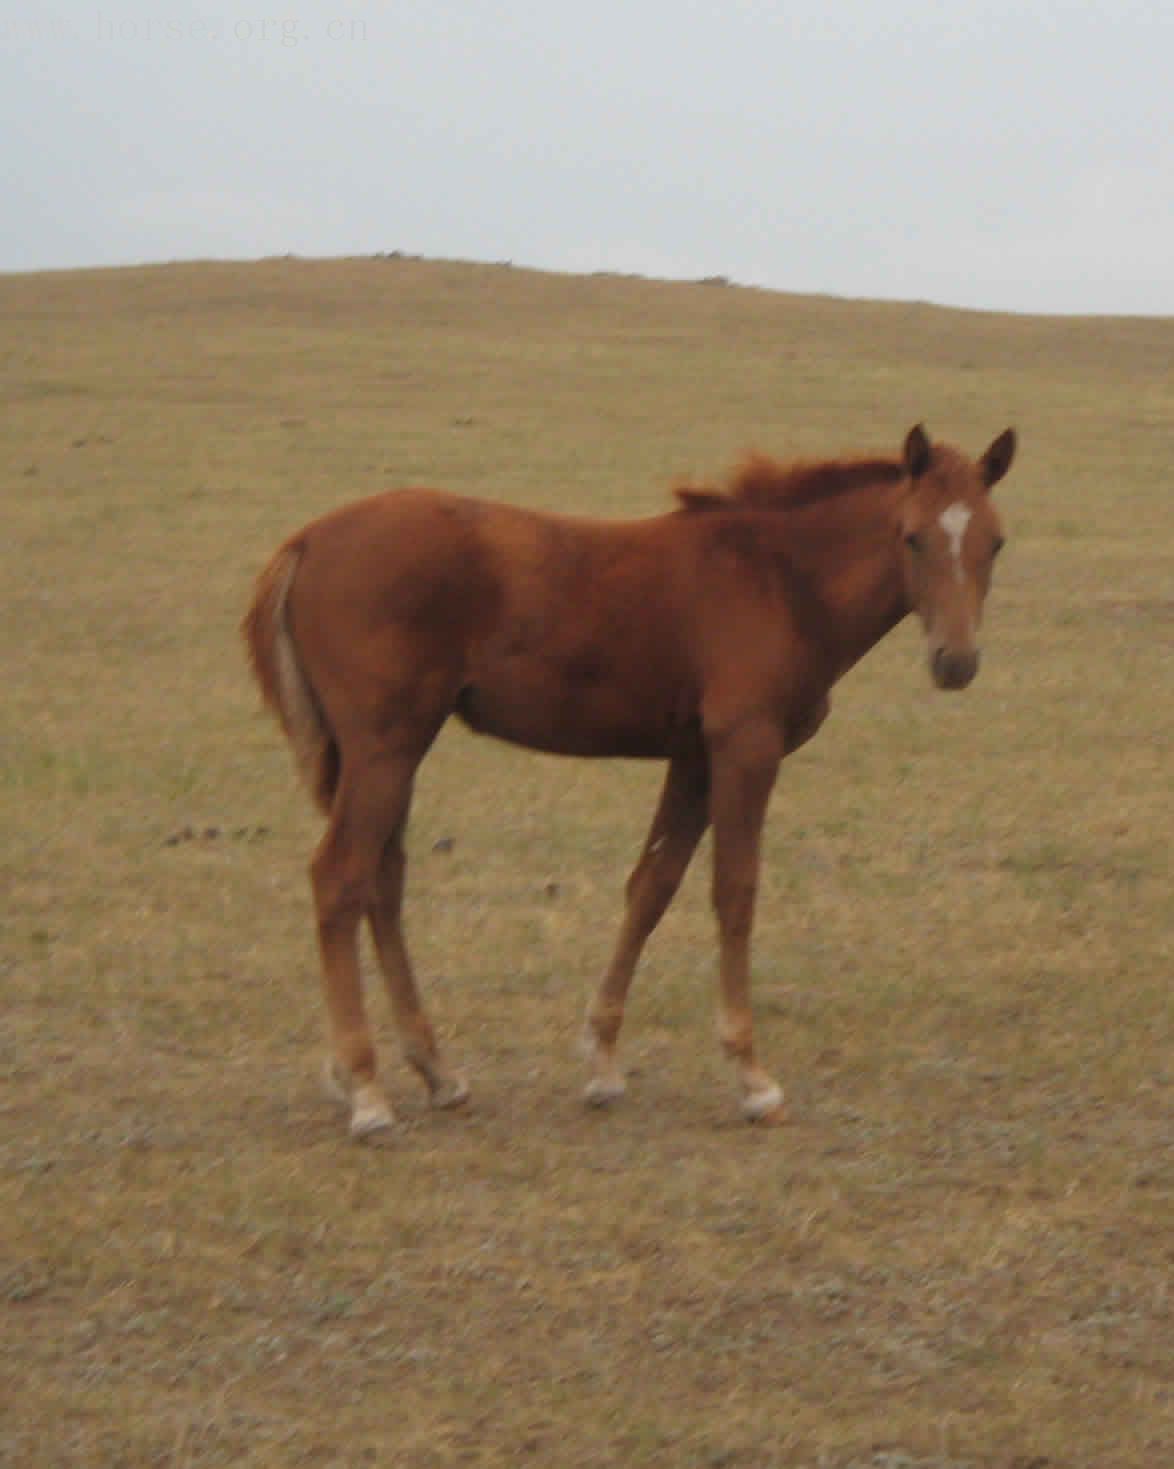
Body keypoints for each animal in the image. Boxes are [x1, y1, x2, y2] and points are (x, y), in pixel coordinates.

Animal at [243, 423, 1016, 1134]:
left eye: (996, 542)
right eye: (912, 537)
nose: (955, 662)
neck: (778, 578)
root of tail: (307, 541)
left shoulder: (694, 757)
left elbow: (652, 887)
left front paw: (603, 1061)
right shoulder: (745, 747)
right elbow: (734, 892)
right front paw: (751, 1075)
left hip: (389, 751)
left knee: (383, 880)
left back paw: (434, 1072)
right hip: (385, 746)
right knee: (340, 876)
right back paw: (366, 1089)